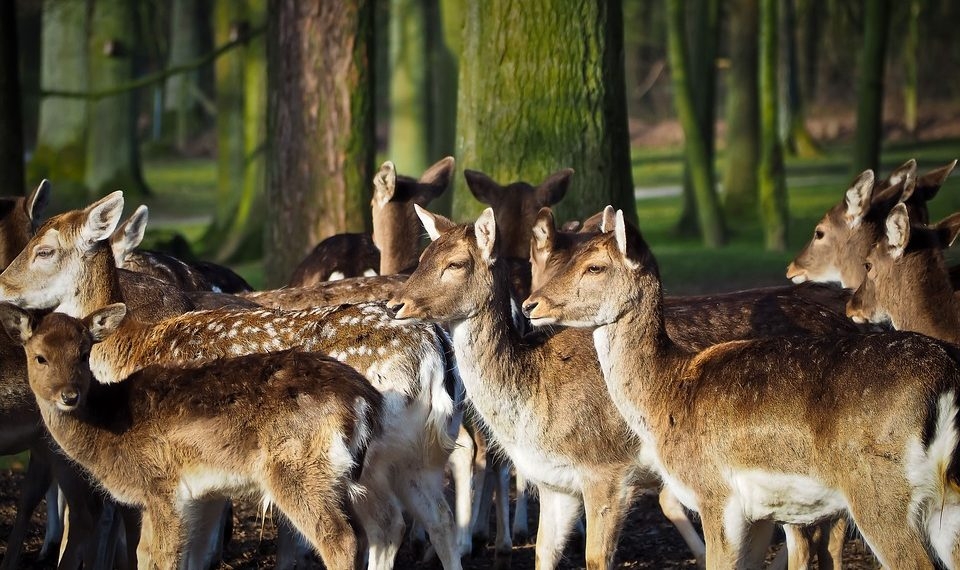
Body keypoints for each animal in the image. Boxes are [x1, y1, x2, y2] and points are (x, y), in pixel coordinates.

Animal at [0, 302, 382, 568]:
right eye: (39, 357)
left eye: (83, 354)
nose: (69, 396)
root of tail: (364, 399)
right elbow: (151, 554)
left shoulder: (163, 485)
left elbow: (161, 556)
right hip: (340, 477)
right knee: (365, 535)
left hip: (298, 470)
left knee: (339, 539)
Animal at [384, 206, 712, 564]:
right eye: (423, 257)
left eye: (456, 263)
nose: (394, 305)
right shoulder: (556, 483)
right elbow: (543, 551)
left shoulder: (610, 472)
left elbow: (595, 557)